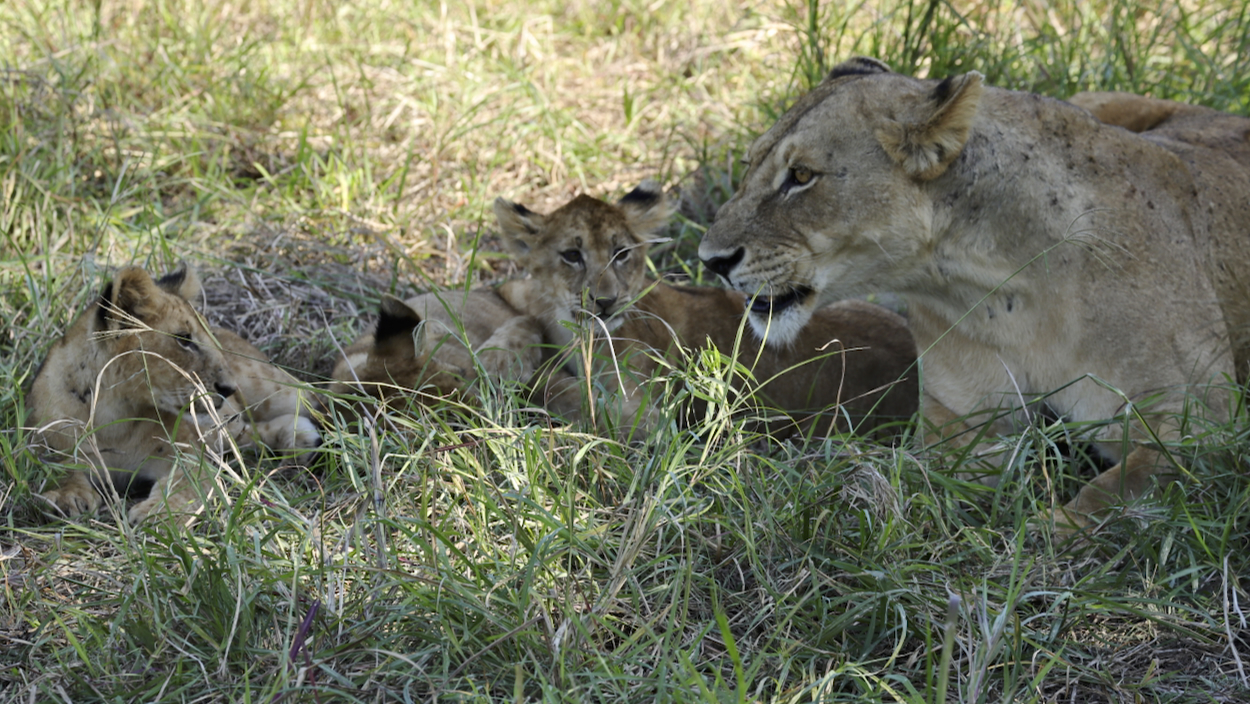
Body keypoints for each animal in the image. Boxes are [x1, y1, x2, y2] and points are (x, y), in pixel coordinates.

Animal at [700, 57, 1245, 525]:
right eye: (749, 165)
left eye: (801, 176)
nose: (711, 261)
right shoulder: (959, 423)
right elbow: (930, 483)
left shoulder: (1204, 427)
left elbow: (1109, 497)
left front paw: (1040, 540)